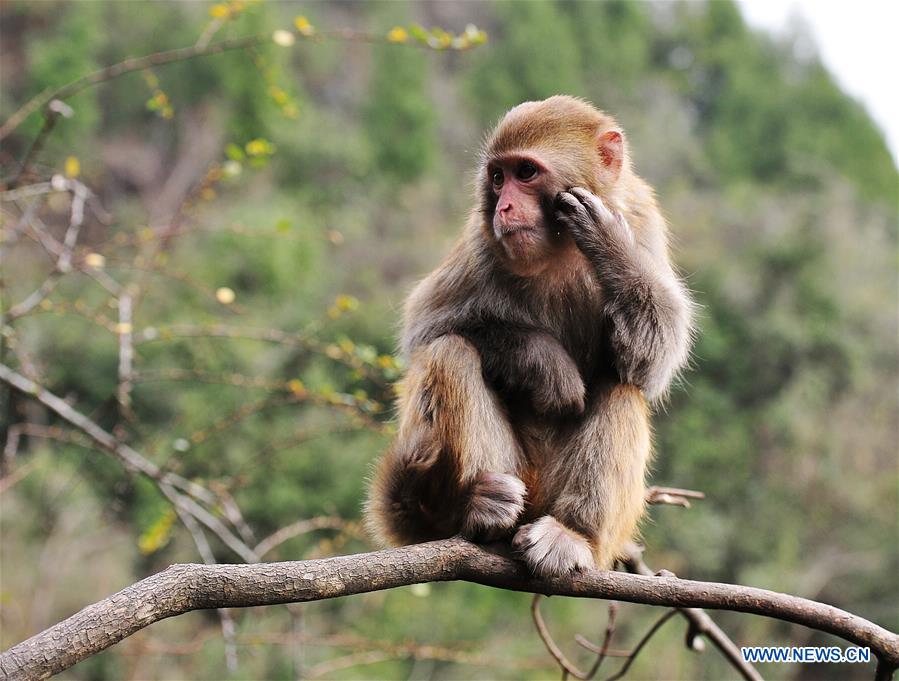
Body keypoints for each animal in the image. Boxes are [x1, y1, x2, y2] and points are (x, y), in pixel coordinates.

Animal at [366, 94, 696, 572]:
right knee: (450, 352)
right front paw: (545, 364)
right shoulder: (482, 240)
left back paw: (573, 534)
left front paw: (608, 242)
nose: (504, 207)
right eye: (497, 178)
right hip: (517, 474)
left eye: (525, 173)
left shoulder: (641, 216)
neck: (559, 247)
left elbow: (652, 358)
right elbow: (425, 327)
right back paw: (476, 511)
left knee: (622, 386)